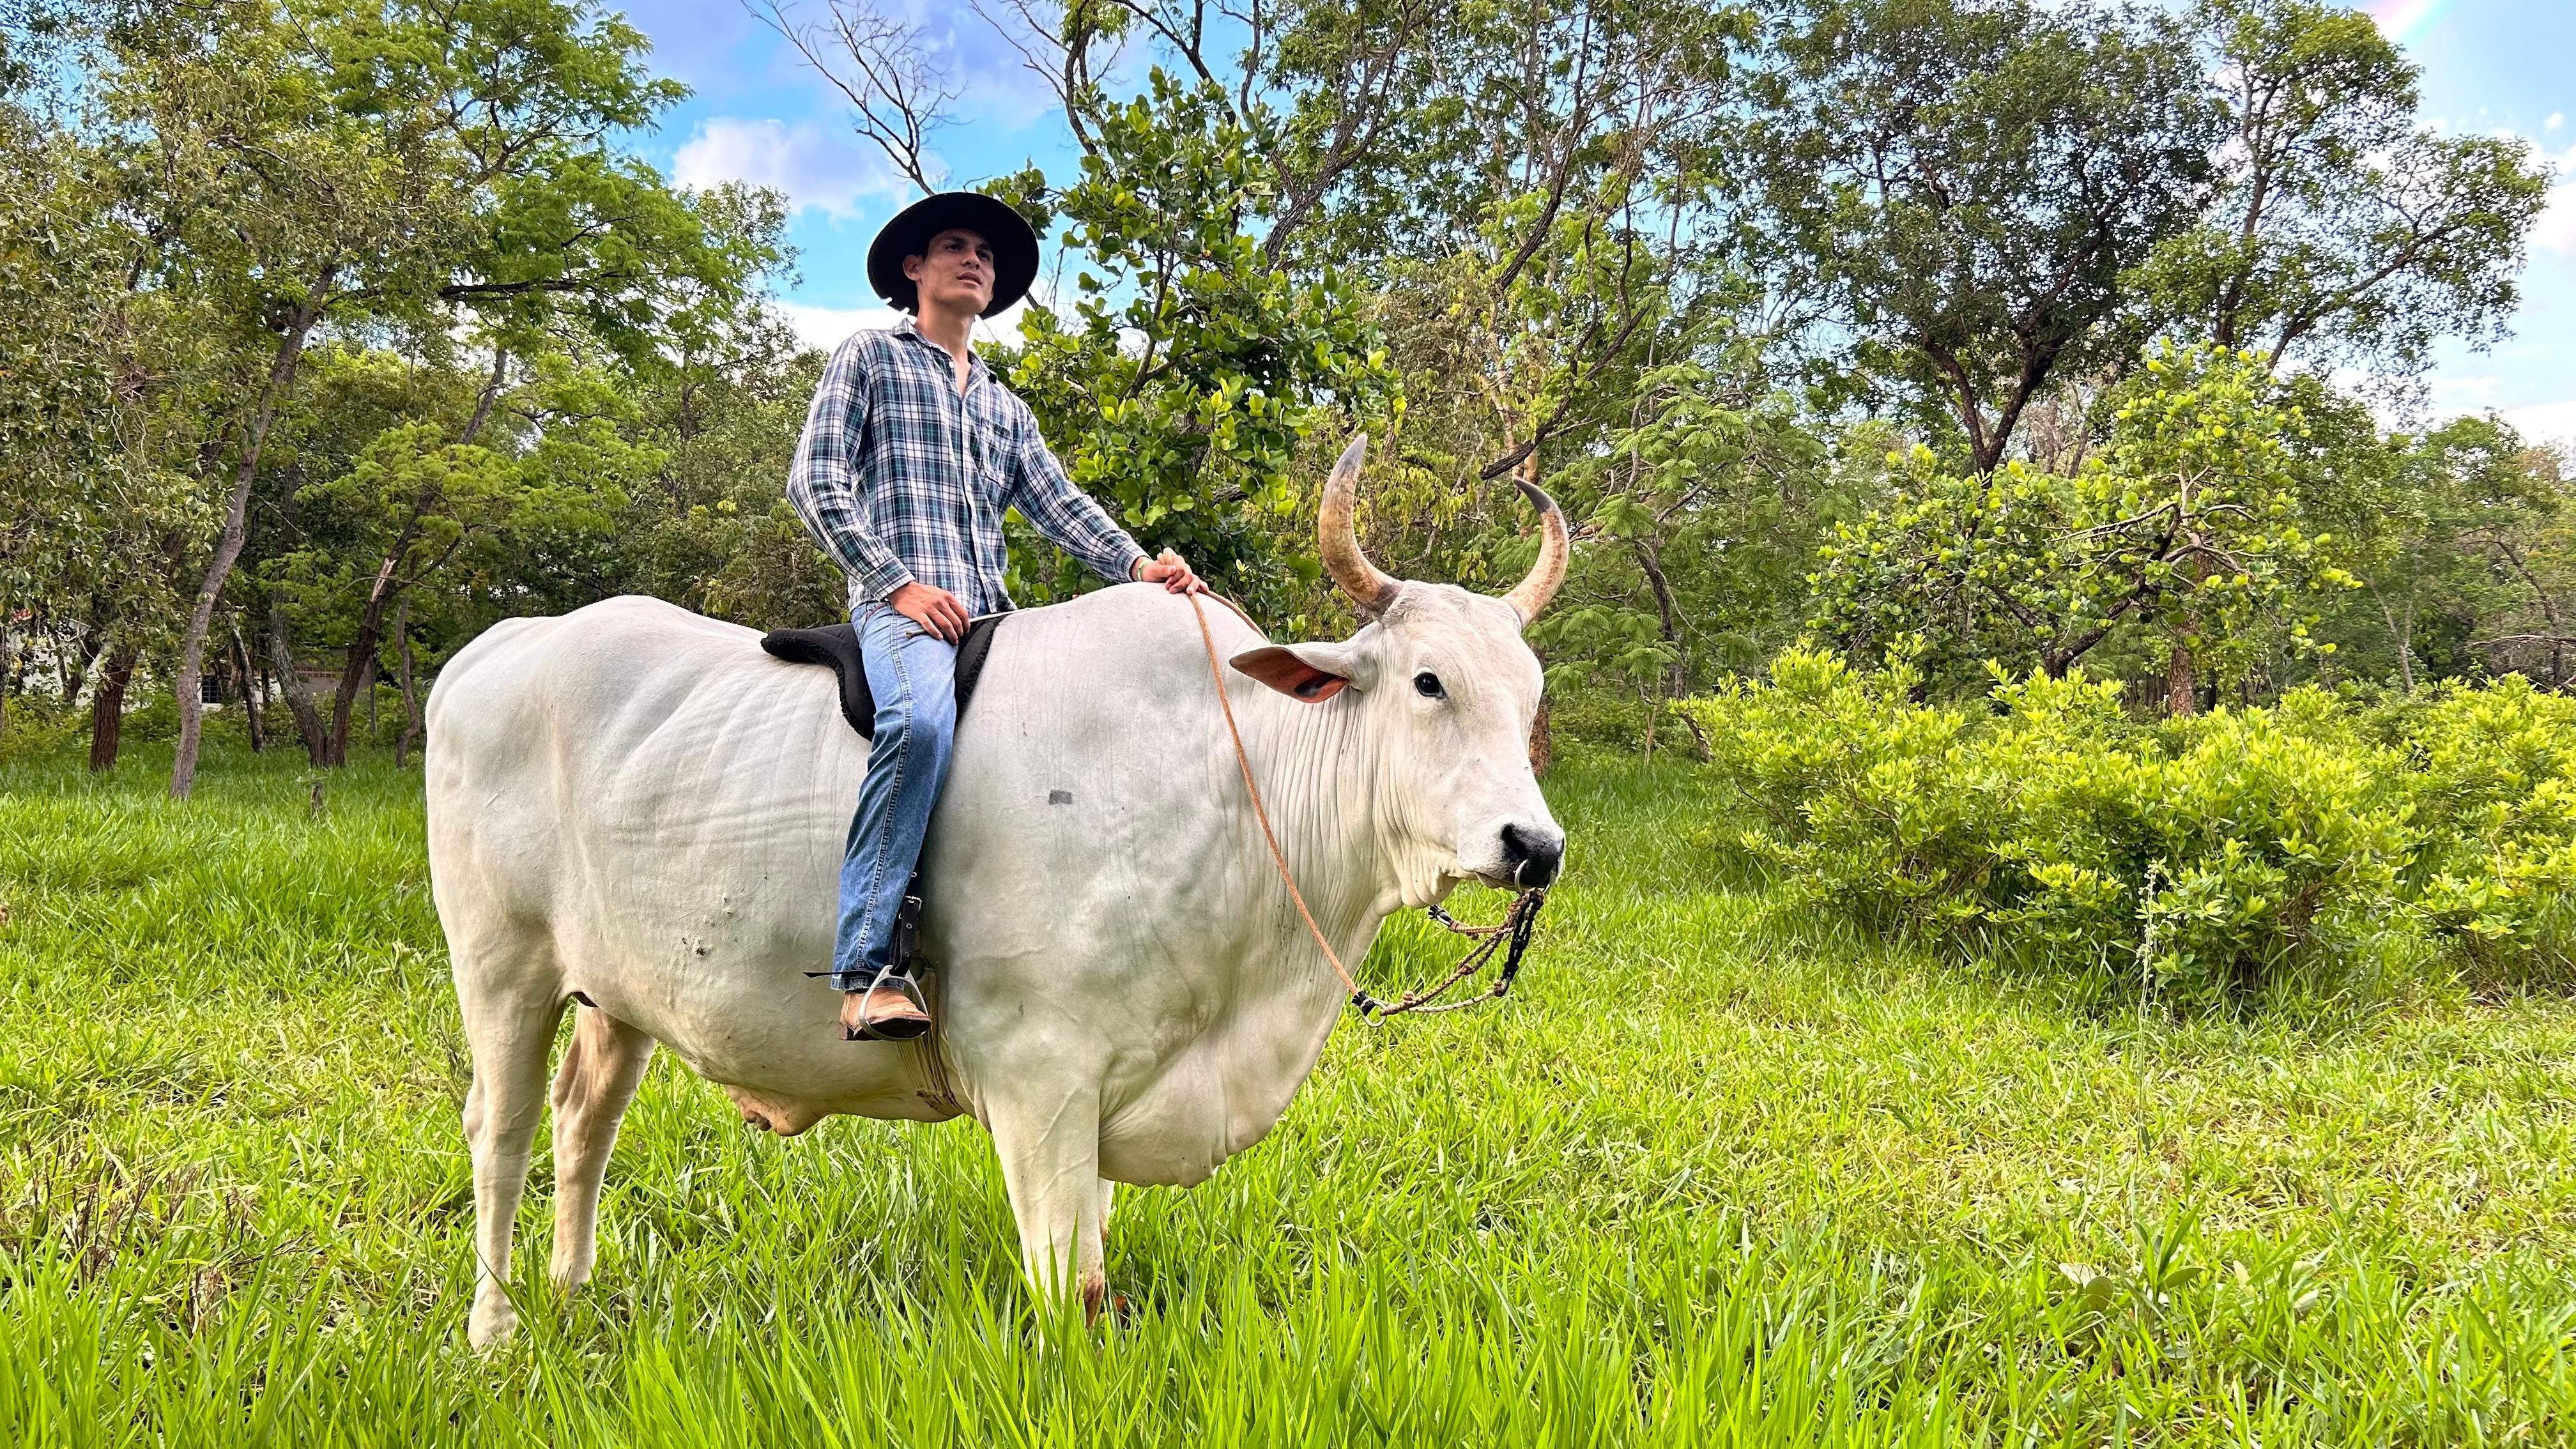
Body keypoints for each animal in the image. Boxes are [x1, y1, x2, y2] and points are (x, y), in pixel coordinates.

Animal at [422, 438, 1566, 1340]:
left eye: (1530, 695)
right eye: (1428, 682)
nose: (1536, 847)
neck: (1232, 785)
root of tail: (500, 645)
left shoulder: (1107, 1093)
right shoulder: (1040, 1083)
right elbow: (1071, 1298)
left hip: (615, 994)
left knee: (585, 1119)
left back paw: (571, 1293)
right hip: (503, 968)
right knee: (502, 1130)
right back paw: (496, 1328)